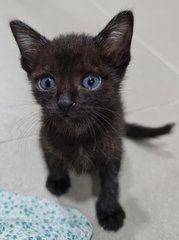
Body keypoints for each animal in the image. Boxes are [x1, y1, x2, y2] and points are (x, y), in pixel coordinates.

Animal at [9, 10, 173, 231]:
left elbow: (111, 182)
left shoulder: (114, 147)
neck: (78, 132)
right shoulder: (45, 135)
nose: (65, 103)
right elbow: (53, 157)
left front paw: (109, 210)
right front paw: (58, 179)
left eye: (90, 81)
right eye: (47, 82)